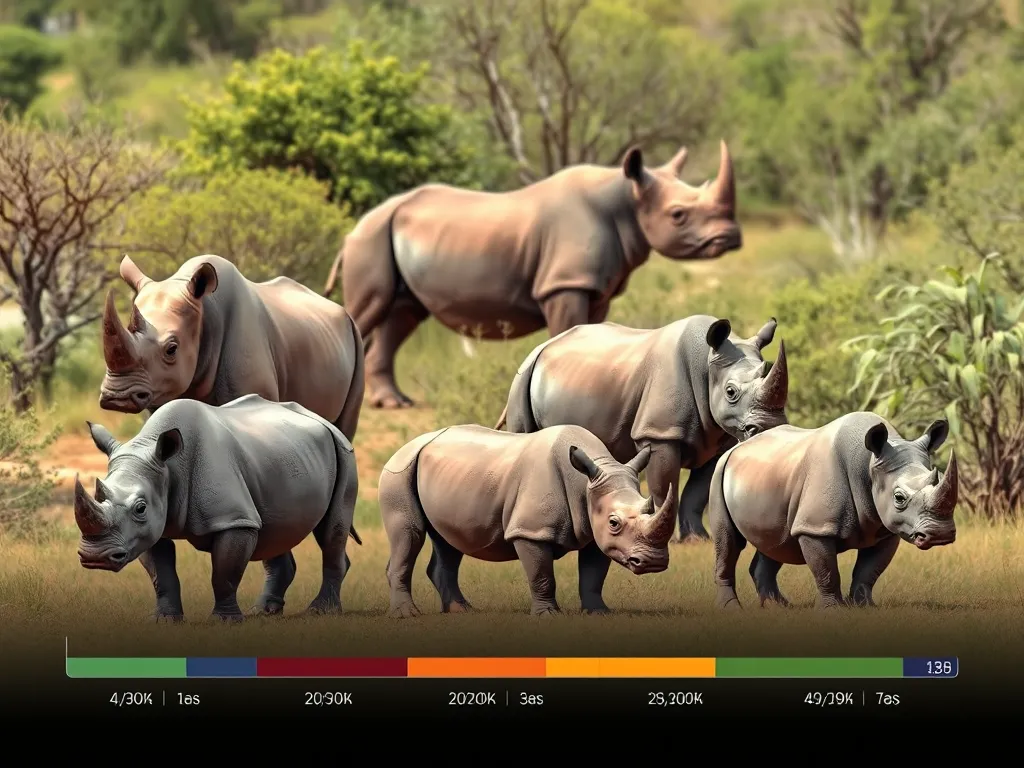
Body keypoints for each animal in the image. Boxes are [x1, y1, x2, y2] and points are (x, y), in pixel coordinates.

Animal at [73, 395, 360, 621]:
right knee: (273, 529)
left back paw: (320, 611)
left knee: (331, 531)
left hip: (344, 452)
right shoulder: (146, 530)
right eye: (98, 495)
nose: (94, 557)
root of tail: (323, 420)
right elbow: (161, 574)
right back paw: (263, 611)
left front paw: (225, 621)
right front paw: (165, 620)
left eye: (140, 508)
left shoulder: (233, 519)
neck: (167, 466)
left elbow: (224, 573)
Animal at [324, 141, 741, 409]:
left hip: (386, 237)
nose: (731, 237)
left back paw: (395, 403)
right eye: (678, 215)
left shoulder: (595, 288)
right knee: (371, 310)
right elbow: (567, 330)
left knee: (401, 314)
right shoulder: (564, 284)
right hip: (370, 239)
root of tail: (354, 229)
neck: (627, 199)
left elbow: (593, 335)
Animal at [378, 424, 676, 617]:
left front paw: (599, 612)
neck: (587, 482)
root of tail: (406, 447)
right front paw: (548, 616)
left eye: (649, 506)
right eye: (614, 522)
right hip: (398, 471)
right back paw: (408, 615)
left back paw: (461, 611)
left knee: (448, 541)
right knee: (410, 534)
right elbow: (542, 575)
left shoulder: (596, 532)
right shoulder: (531, 531)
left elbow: (593, 574)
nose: (655, 562)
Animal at [495, 315, 789, 542]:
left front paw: (697, 539)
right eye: (730, 392)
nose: (769, 428)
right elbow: (663, 483)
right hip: (523, 378)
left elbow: (697, 492)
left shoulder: (718, 436)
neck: (706, 362)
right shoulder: (660, 433)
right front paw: (664, 537)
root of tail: (541, 346)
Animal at [708, 412, 959, 610]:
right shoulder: (815, 527)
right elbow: (827, 571)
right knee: (729, 540)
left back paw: (779, 607)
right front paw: (833, 610)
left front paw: (865, 607)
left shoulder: (887, 529)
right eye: (899, 498)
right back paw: (732, 608)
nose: (941, 534)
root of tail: (736, 447)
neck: (869, 464)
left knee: (777, 540)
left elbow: (869, 571)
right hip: (720, 472)